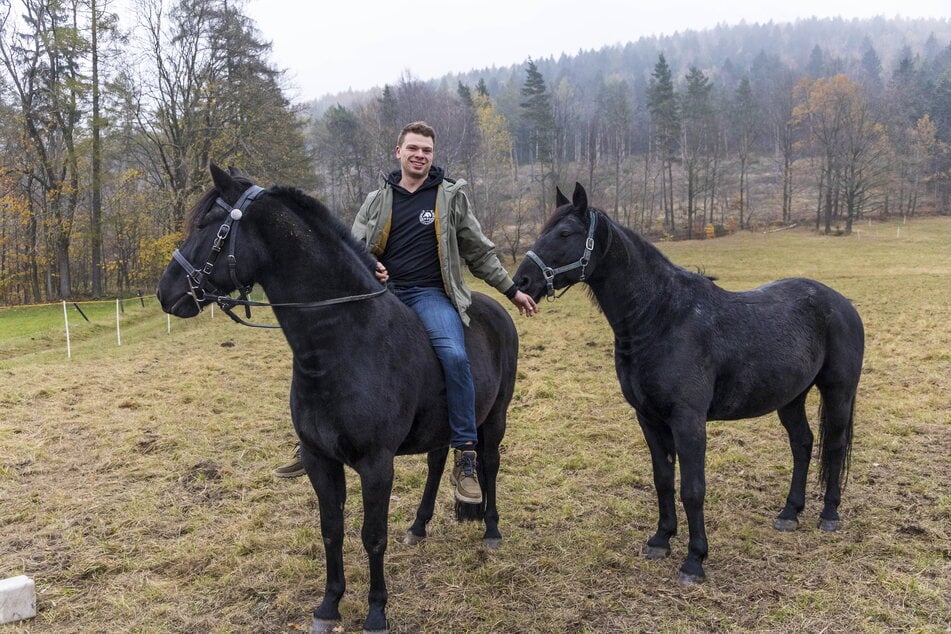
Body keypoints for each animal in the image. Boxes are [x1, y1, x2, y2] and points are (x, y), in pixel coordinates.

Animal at [156, 165, 516, 628]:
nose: (166, 291)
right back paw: (418, 527)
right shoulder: (319, 459)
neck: (343, 340)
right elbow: (332, 530)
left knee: (488, 464)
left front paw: (376, 612)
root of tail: (496, 308)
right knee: (437, 463)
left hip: (495, 417)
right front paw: (329, 605)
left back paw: (491, 530)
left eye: (208, 224)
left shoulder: (377, 465)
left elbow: (373, 536)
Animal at [516, 183, 868, 584]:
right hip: (791, 398)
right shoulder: (649, 419)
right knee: (803, 443)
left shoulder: (688, 421)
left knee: (835, 446)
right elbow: (663, 480)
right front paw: (660, 539)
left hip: (838, 393)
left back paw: (829, 514)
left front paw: (694, 559)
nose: (522, 281)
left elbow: (693, 489)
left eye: (564, 233)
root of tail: (842, 303)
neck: (663, 318)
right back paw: (789, 513)